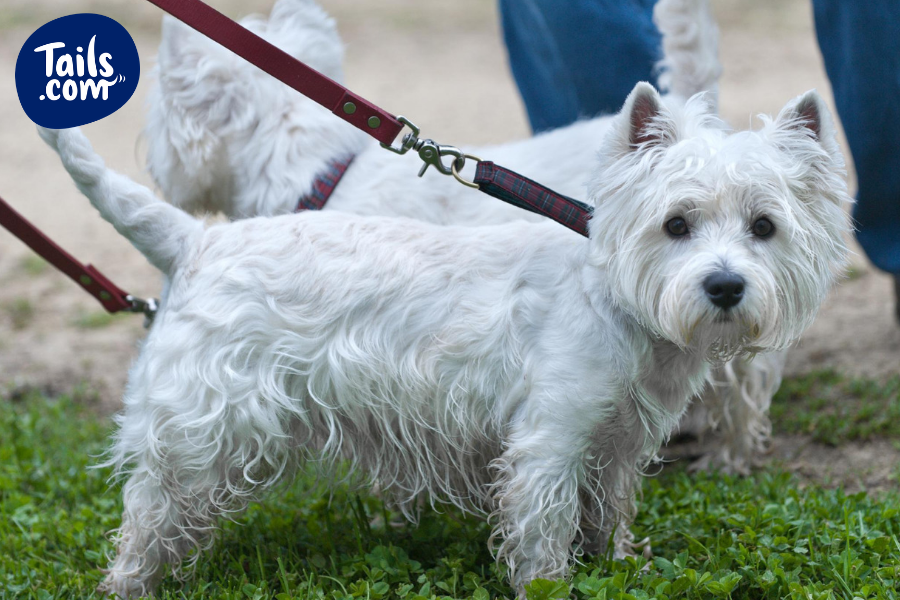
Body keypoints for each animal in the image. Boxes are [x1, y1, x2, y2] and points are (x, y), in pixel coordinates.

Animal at [38, 82, 848, 596]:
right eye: (676, 223)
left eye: (764, 227)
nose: (725, 287)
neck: (615, 303)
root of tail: (198, 243)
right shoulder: (549, 438)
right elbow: (542, 528)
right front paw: (552, 585)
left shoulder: (618, 442)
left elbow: (607, 513)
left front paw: (619, 566)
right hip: (201, 427)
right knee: (149, 514)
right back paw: (131, 583)